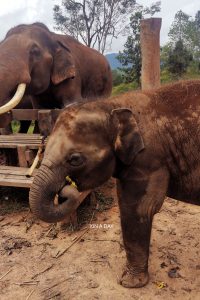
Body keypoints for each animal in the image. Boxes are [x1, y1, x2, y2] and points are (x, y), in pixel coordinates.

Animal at [28, 79, 200, 288]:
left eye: (75, 159)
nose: (68, 187)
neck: (113, 105)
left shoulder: (148, 159)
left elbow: (139, 209)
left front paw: (129, 283)